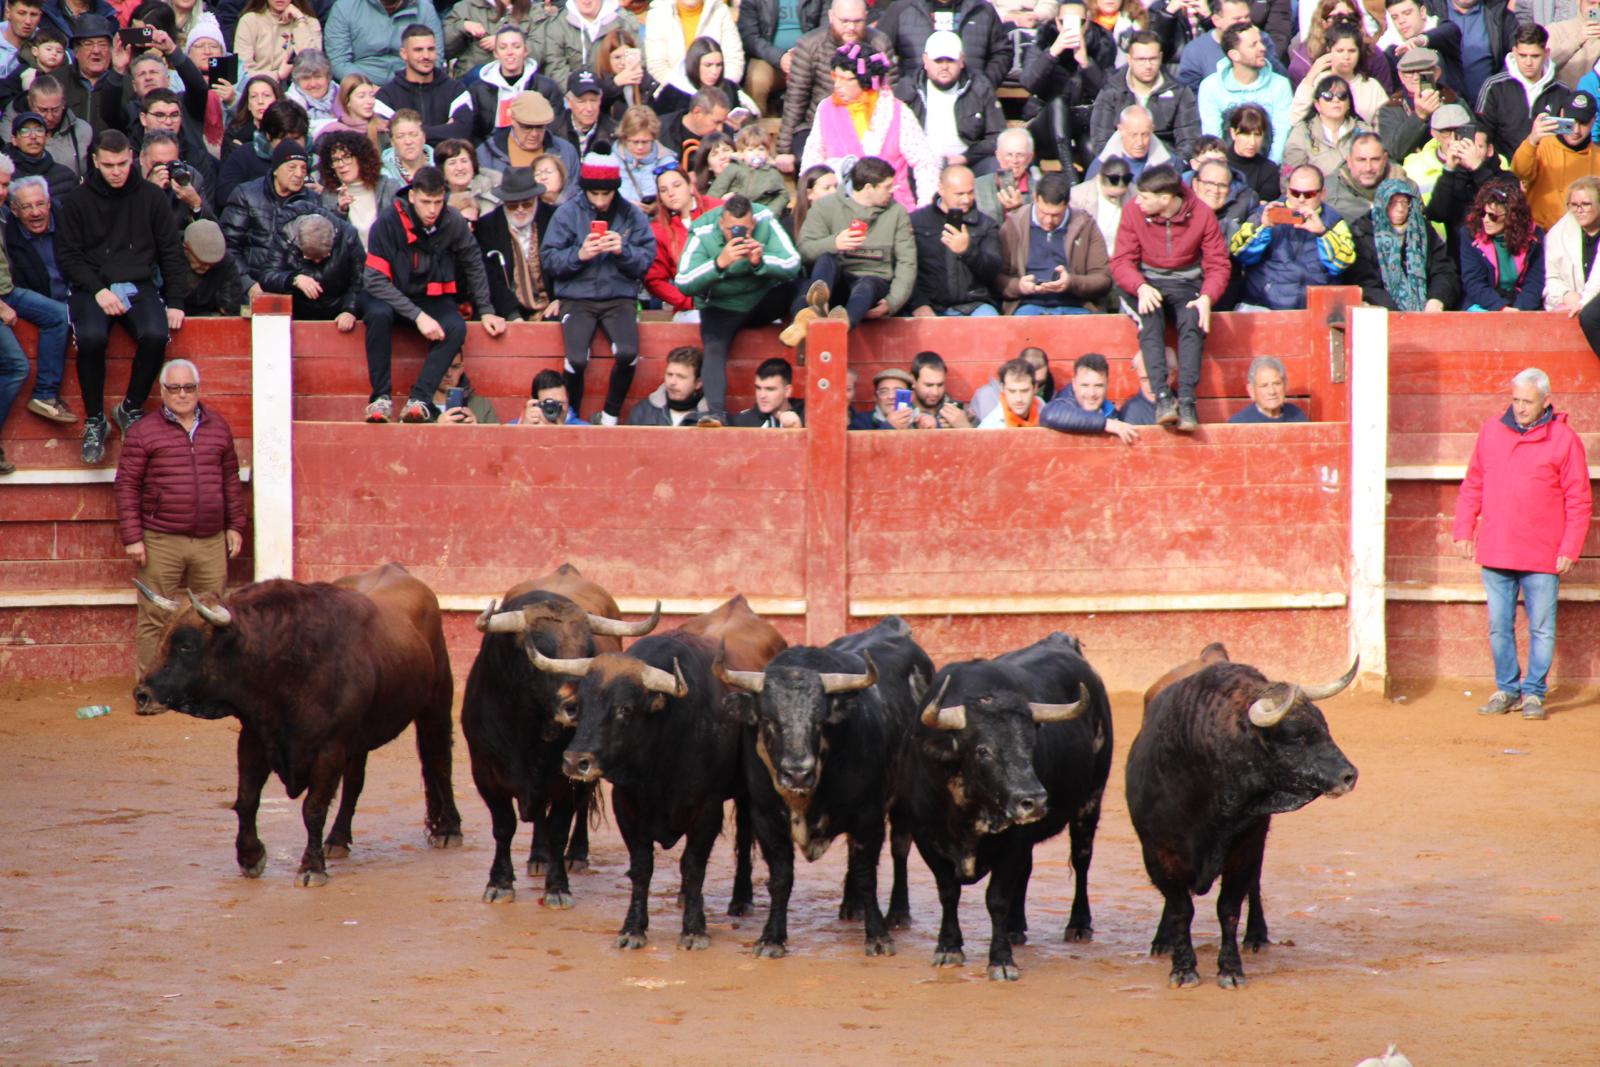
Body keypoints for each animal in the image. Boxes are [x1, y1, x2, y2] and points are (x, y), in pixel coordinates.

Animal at [133, 563, 460, 889]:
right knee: (355, 782)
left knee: (439, 761)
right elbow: (247, 800)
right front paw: (250, 857)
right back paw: (338, 839)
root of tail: (397, 569)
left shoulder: (330, 749)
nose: (141, 695)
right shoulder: (255, 737)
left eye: (187, 646)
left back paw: (449, 830)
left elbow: (313, 808)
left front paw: (311, 867)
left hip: (436, 705)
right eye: (163, 637)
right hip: (360, 737)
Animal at [889, 633, 1113, 985]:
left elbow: (996, 899)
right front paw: (949, 947)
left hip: (1091, 800)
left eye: (1031, 745)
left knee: (1082, 859)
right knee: (1028, 870)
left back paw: (1078, 924)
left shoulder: (1013, 841)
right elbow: (948, 892)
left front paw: (1001, 960)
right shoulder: (927, 838)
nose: (1034, 800)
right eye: (983, 750)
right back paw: (1016, 928)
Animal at [1126, 659, 1363, 991]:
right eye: (1296, 735)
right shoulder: (1158, 854)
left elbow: (1228, 908)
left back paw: (1257, 936)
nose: (1349, 775)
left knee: (1255, 885)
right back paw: (1164, 941)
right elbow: (1181, 909)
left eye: (1324, 725)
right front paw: (1183, 969)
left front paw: (1230, 969)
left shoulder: (1245, 848)